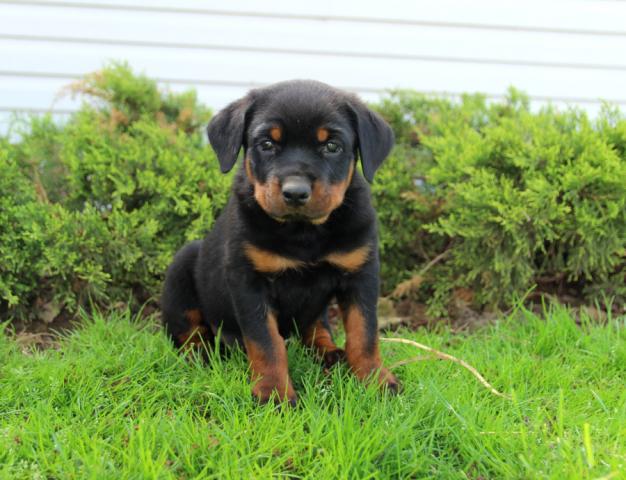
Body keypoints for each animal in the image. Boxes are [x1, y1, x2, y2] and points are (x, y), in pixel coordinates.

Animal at [160, 79, 394, 404]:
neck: (303, 232)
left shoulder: (361, 272)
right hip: (182, 267)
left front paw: (376, 380)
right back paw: (200, 353)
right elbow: (267, 343)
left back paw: (329, 352)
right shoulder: (249, 282)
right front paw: (274, 393)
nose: (295, 192)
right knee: (187, 331)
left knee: (316, 326)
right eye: (267, 144)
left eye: (332, 146)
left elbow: (365, 333)